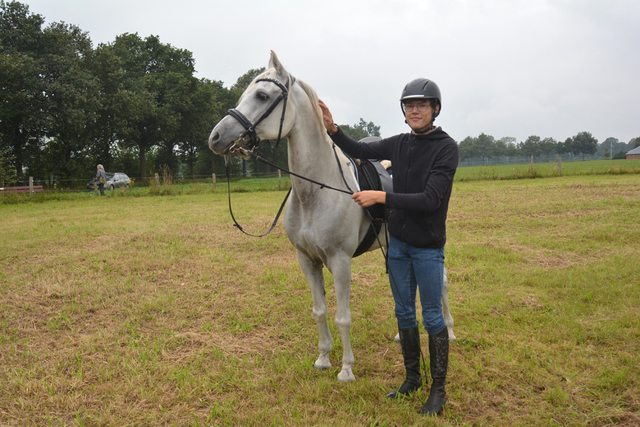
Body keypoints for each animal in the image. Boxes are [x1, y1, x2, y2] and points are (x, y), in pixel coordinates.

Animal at [210, 51, 456, 382]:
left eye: (262, 95)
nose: (216, 137)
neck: (316, 191)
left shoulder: (340, 262)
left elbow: (342, 317)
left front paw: (346, 369)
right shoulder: (306, 260)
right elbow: (320, 311)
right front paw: (323, 358)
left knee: (440, 282)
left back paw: (450, 331)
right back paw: (398, 335)